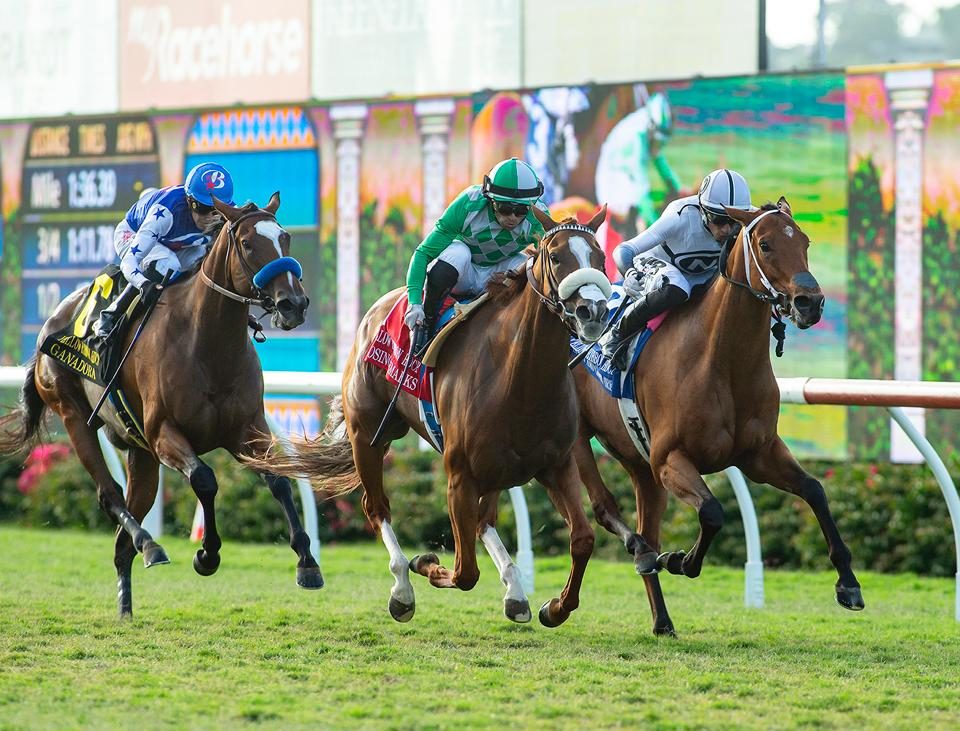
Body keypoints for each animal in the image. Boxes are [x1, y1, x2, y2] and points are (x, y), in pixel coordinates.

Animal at [0, 193, 322, 616]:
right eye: (248, 243)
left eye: (285, 237)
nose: (294, 304)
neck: (207, 345)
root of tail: (49, 325)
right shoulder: (163, 433)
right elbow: (204, 479)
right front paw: (207, 555)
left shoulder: (247, 429)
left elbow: (279, 480)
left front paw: (307, 563)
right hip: (74, 416)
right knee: (109, 495)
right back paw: (151, 545)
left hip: (141, 456)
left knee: (122, 541)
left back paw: (126, 605)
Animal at [253, 207, 616, 628]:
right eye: (556, 257)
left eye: (599, 257)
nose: (593, 311)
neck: (521, 377)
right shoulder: (459, 475)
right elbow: (464, 572)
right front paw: (425, 563)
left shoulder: (556, 465)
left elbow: (583, 539)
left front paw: (555, 607)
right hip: (368, 436)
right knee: (376, 507)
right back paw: (402, 588)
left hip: (495, 469)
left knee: (485, 520)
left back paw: (515, 593)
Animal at [568, 199, 864, 636]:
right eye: (765, 244)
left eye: (805, 241)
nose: (810, 303)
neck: (723, 359)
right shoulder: (671, 459)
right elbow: (712, 511)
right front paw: (680, 560)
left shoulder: (759, 453)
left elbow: (814, 490)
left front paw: (848, 583)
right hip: (577, 439)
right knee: (604, 510)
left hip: (640, 464)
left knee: (646, 527)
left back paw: (661, 618)